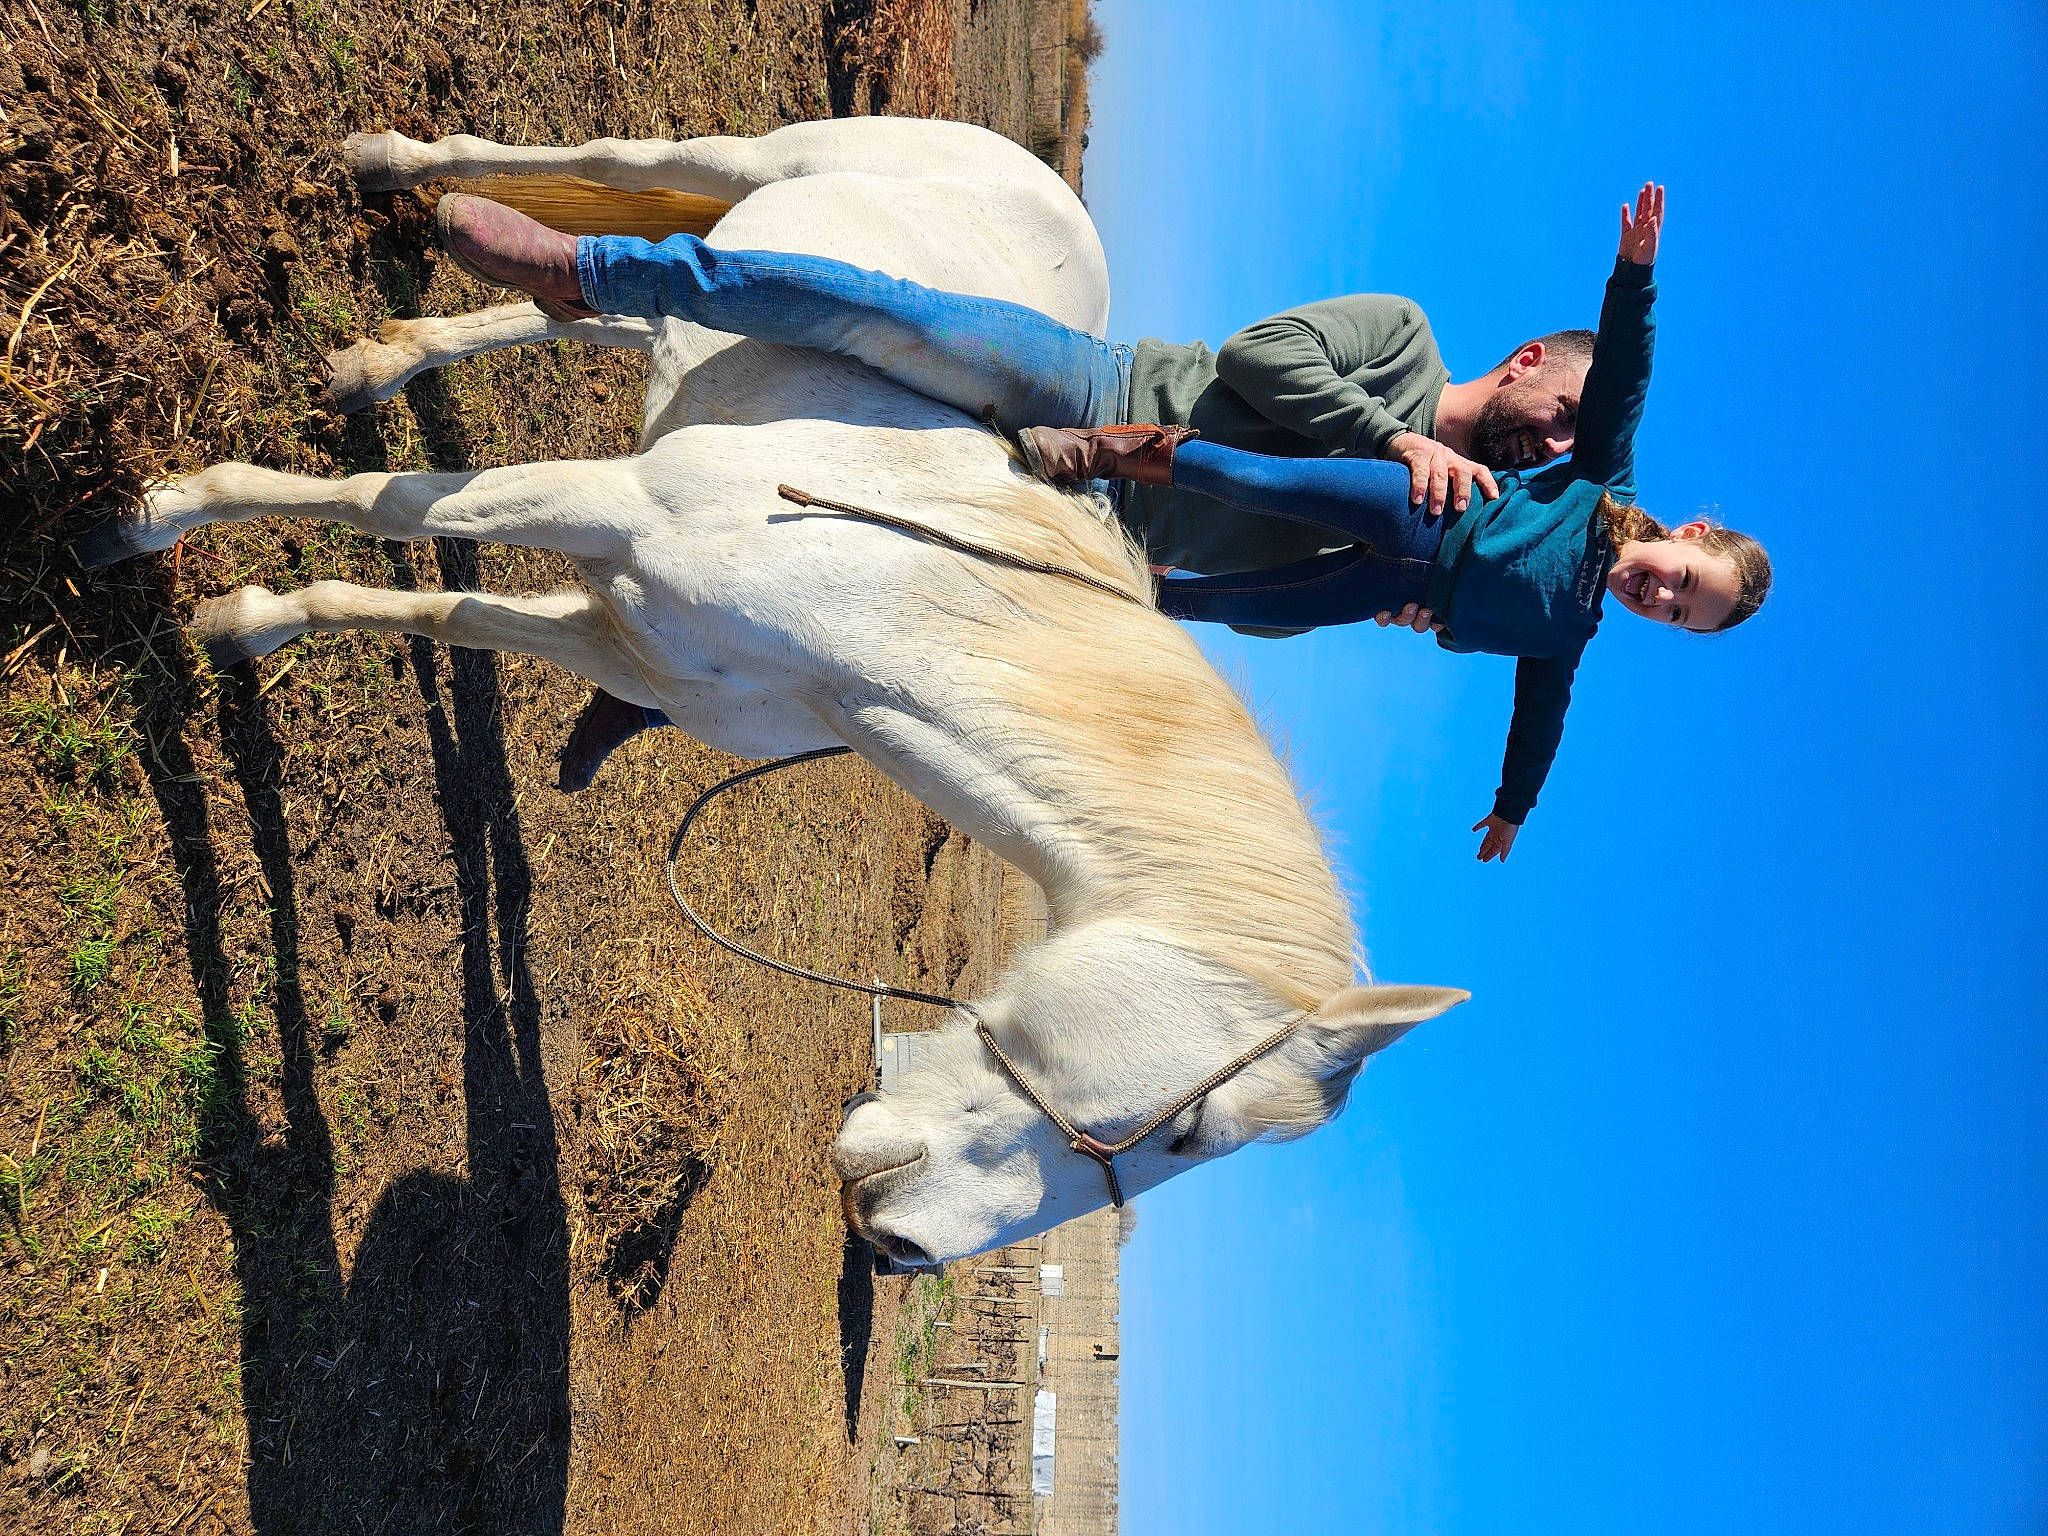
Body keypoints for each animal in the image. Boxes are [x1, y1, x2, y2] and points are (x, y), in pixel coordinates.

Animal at [78, 117, 1464, 1267]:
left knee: (597, 313)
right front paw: (158, 518)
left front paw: (247, 620)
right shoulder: (610, 510)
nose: (900, 1251)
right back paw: (398, 177)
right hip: (749, 163)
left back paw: (385, 360)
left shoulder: (626, 641)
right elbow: (389, 509)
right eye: (1190, 1137)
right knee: (624, 188)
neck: (881, 598)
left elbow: (439, 601)